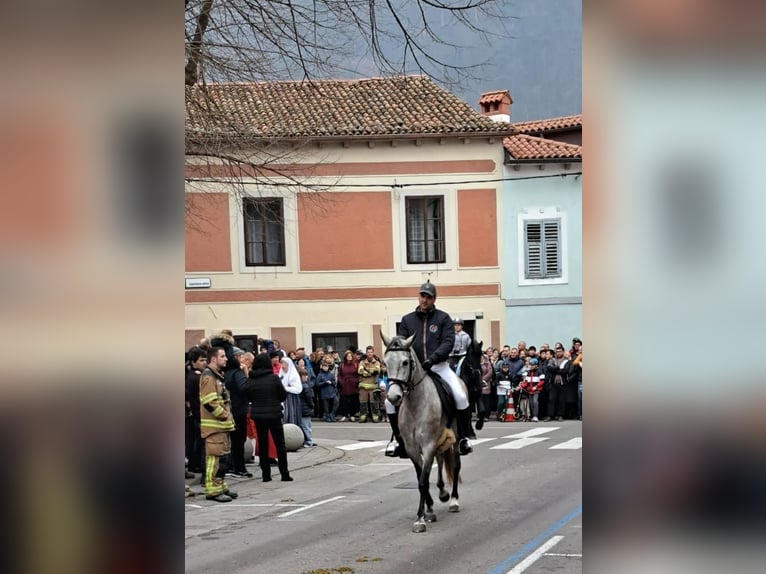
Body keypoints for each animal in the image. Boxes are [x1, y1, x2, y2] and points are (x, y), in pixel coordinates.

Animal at [382, 332, 464, 536]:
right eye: (385, 362)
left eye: (405, 362)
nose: (393, 397)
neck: (415, 404)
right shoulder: (412, 448)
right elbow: (421, 477)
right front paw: (429, 510)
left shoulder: (428, 445)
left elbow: (422, 481)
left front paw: (420, 519)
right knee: (440, 460)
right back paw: (442, 493)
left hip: (454, 437)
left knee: (455, 464)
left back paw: (453, 500)